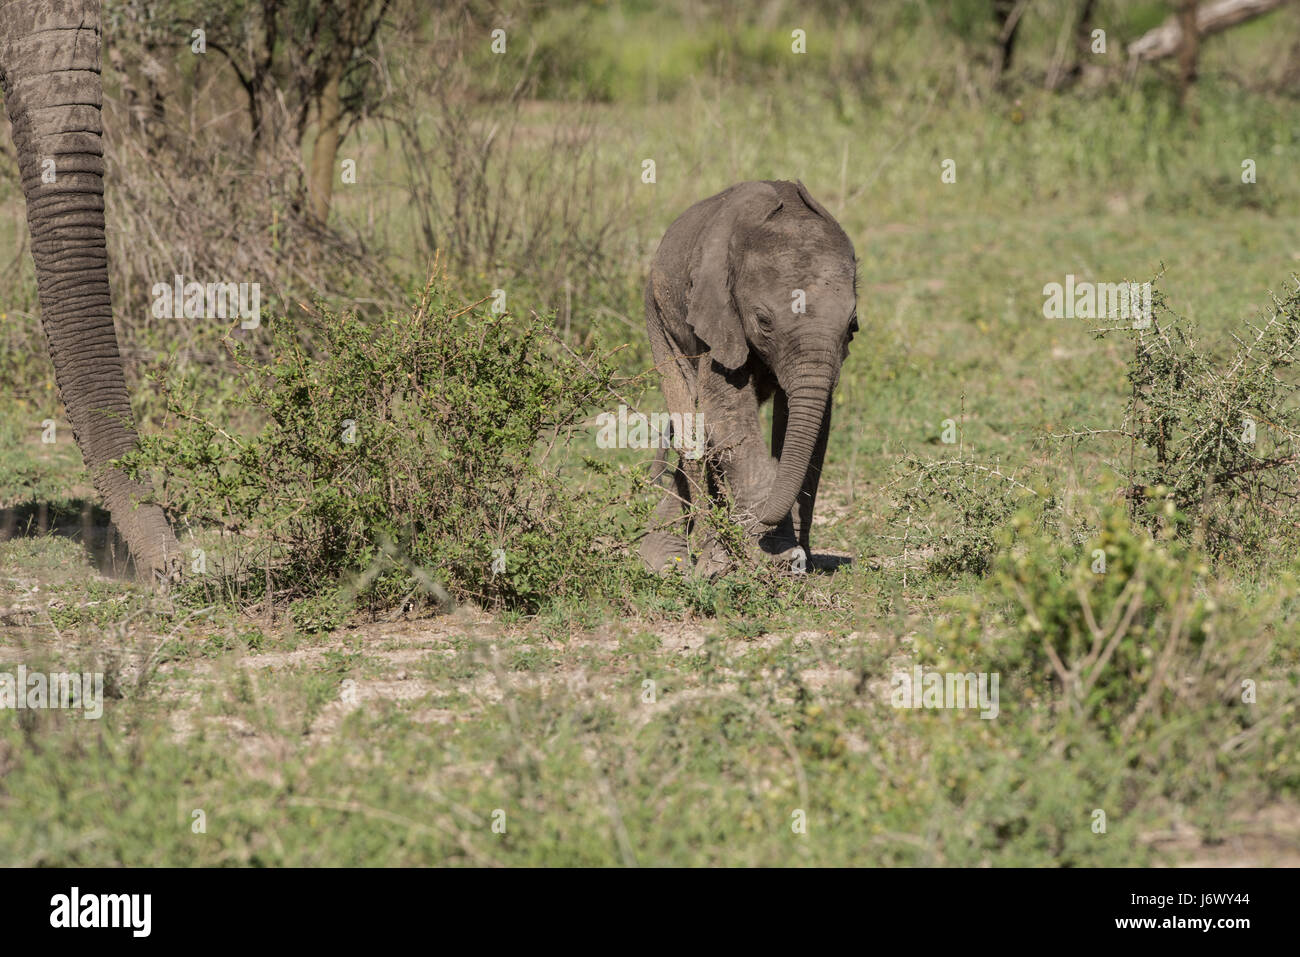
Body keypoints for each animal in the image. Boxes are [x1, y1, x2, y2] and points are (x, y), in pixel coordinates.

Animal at [639, 180, 852, 574]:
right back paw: (679, 560)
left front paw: (790, 555)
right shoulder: (717, 312)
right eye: (764, 322)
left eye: (851, 326)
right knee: (690, 426)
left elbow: (809, 424)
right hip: (656, 312)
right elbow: (724, 409)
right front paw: (774, 556)